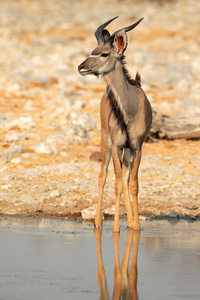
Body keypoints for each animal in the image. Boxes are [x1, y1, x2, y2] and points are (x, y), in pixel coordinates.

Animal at [78, 16, 152, 232]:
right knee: (103, 175)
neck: (130, 110)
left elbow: (133, 184)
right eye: (93, 50)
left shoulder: (136, 147)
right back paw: (97, 221)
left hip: (125, 151)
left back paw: (130, 221)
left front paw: (135, 226)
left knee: (125, 180)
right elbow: (117, 183)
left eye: (104, 53)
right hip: (106, 141)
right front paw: (116, 229)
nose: (81, 67)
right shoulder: (117, 145)